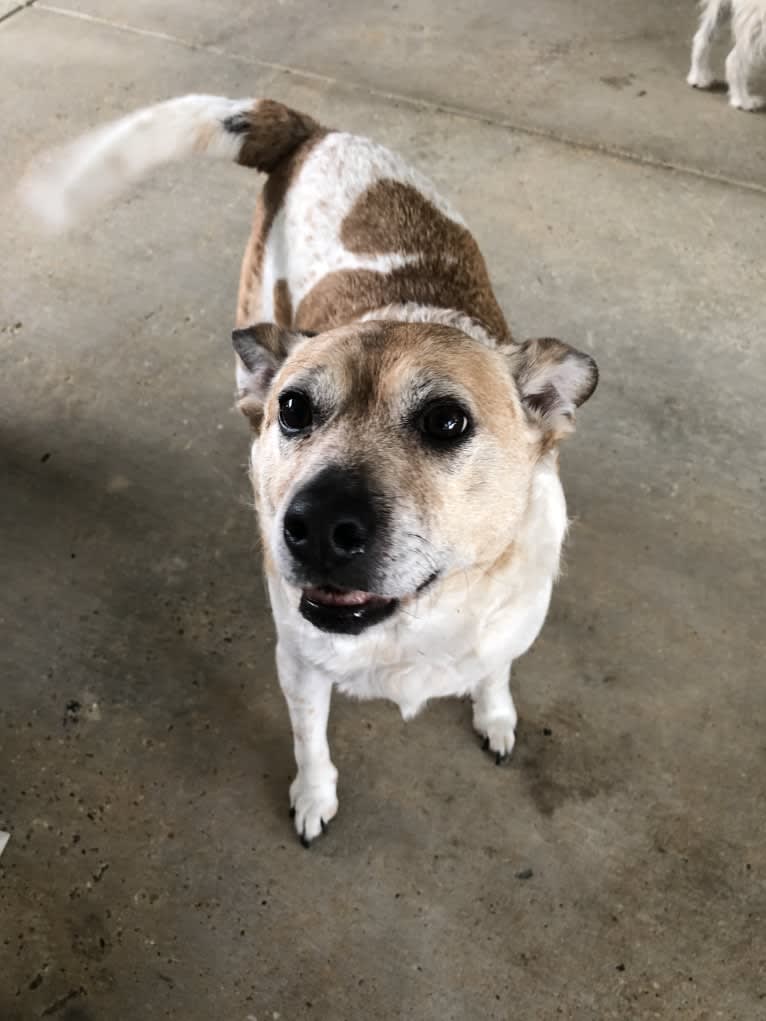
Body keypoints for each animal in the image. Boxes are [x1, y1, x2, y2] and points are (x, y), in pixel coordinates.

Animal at [20, 95, 600, 845]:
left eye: (447, 421)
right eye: (294, 408)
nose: (318, 525)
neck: (411, 622)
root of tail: (313, 129)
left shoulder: (508, 629)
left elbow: (494, 671)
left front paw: (494, 715)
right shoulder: (298, 666)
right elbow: (310, 741)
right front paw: (313, 795)